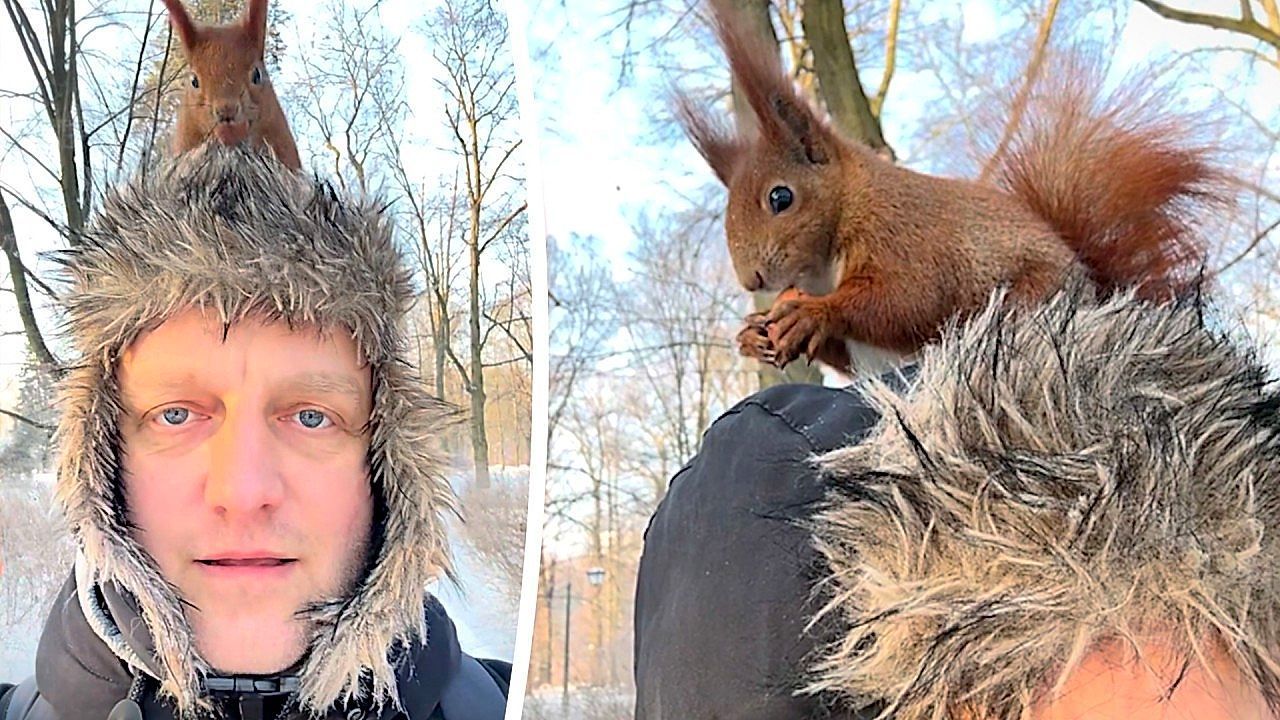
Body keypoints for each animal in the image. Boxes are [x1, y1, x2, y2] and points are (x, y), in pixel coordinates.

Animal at [676, 0, 1225, 378]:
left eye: (780, 198)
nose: (751, 279)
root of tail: (1097, 288)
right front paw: (753, 335)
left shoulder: (904, 236)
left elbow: (906, 298)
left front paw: (813, 314)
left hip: (1029, 301)